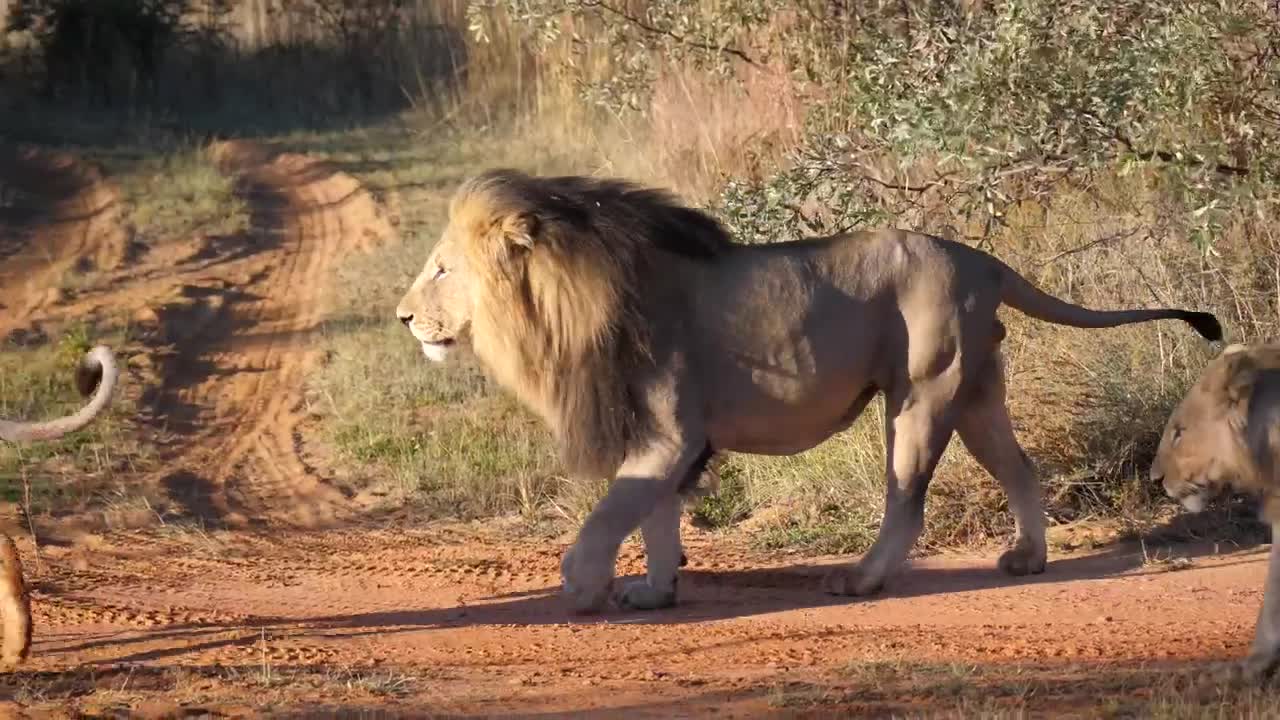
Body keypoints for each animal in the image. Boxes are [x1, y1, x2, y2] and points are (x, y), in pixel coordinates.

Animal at [396, 167, 1218, 609]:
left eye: (441, 268)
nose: (402, 317)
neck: (566, 295)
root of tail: (981, 259)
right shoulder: (657, 438)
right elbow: (654, 518)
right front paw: (655, 591)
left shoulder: (668, 435)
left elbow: (611, 514)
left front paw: (579, 582)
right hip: (977, 393)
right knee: (1021, 468)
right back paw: (1028, 558)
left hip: (921, 393)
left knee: (907, 501)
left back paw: (862, 578)